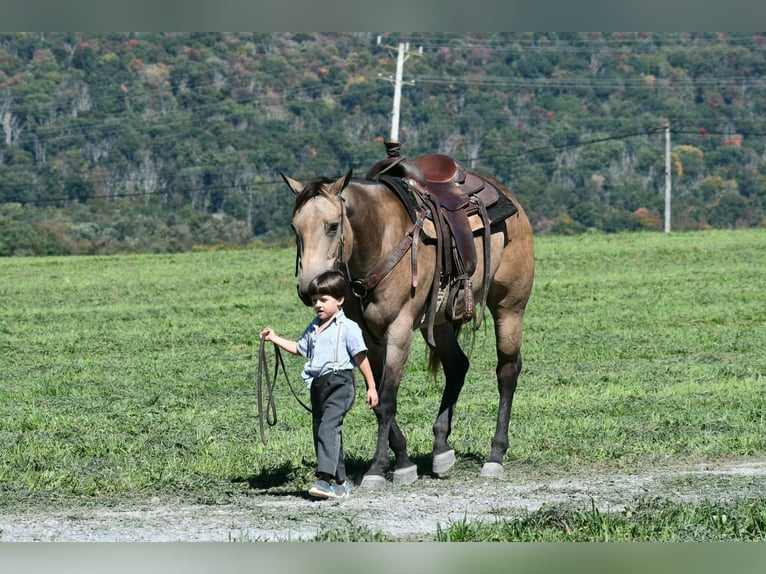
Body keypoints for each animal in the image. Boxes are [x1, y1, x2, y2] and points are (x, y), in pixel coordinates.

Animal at [281, 156, 534, 487]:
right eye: (295, 227)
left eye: (332, 225)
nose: (309, 288)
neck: (380, 239)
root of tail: (508, 197)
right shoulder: (368, 338)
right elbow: (377, 398)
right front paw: (403, 459)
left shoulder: (399, 331)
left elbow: (387, 398)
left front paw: (380, 469)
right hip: (440, 323)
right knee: (457, 366)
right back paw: (441, 449)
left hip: (509, 307)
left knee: (507, 371)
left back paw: (495, 455)